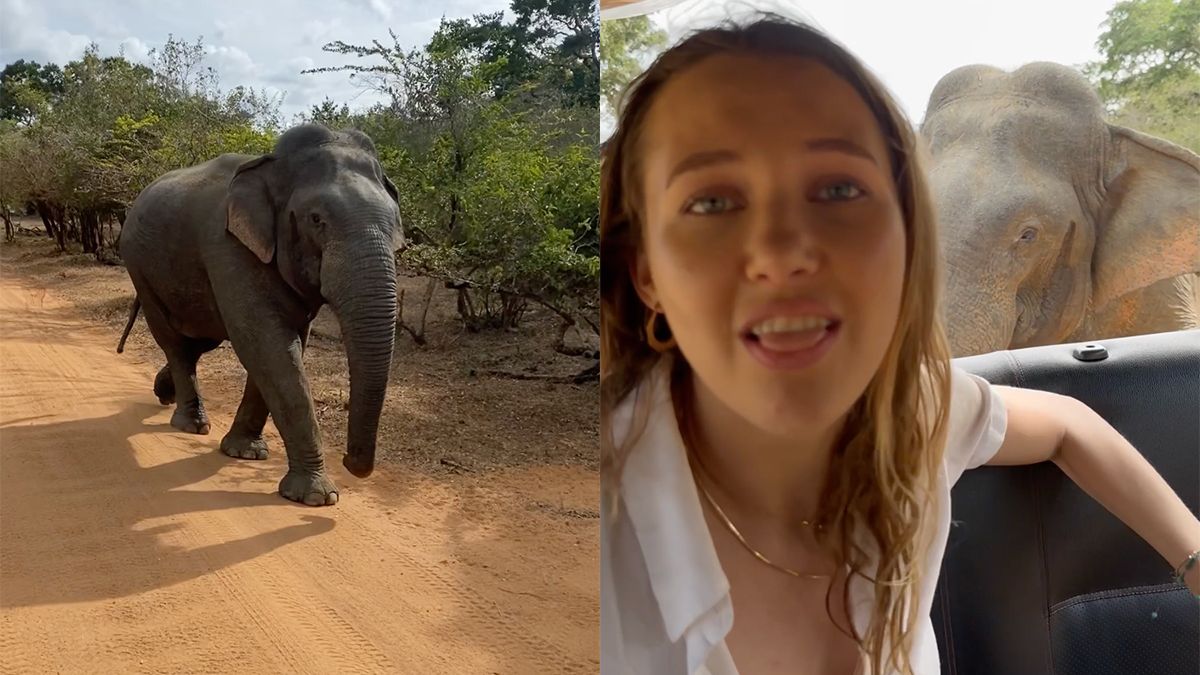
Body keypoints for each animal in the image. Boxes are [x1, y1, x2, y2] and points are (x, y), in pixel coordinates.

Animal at [117, 121, 408, 504]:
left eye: (395, 223)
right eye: (317, 219)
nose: (350, 462)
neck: (271, 167)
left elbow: (284, 343)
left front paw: (245, 453)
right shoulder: (228, 245)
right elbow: (265, 343)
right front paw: (316, 497)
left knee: (198, 341)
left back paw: (165, 395)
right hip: (138, 265)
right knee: (174, 341)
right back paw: (191, 424)